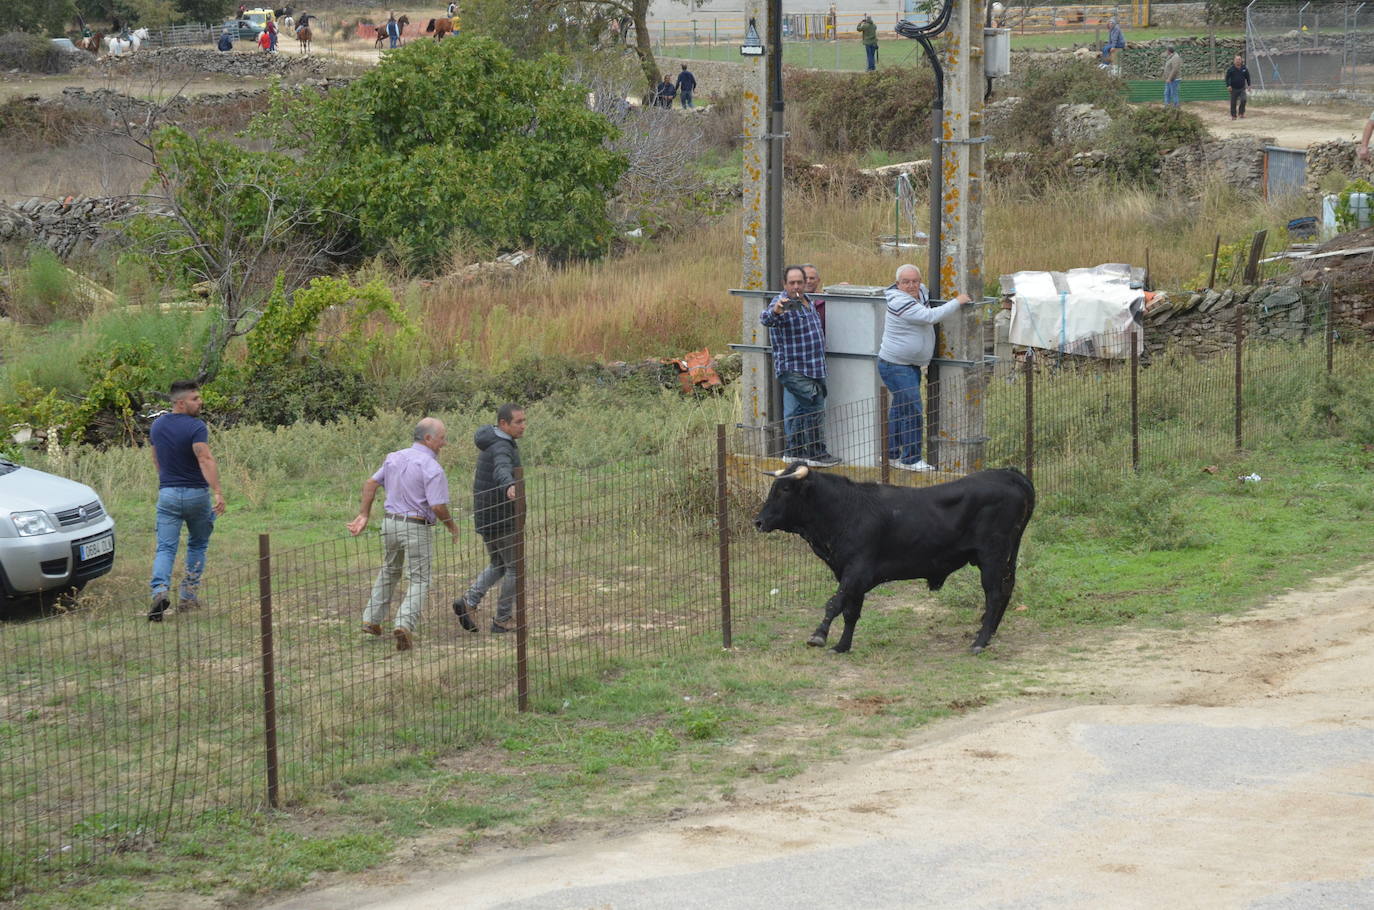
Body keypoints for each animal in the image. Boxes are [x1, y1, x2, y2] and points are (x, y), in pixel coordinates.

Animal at [758, 470, 1033, 657]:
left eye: (784, 489)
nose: (758, 521)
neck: (847, 510)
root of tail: (1009, 474)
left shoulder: (856, 571)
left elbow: (834, 604)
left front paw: (819, 635)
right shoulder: (850, 575)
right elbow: (850, 611)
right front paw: (842, 645)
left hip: (992, 556)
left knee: (994, 594)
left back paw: (980, 641)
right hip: (1006, 557)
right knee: (1007, 588)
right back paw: (988, 634)